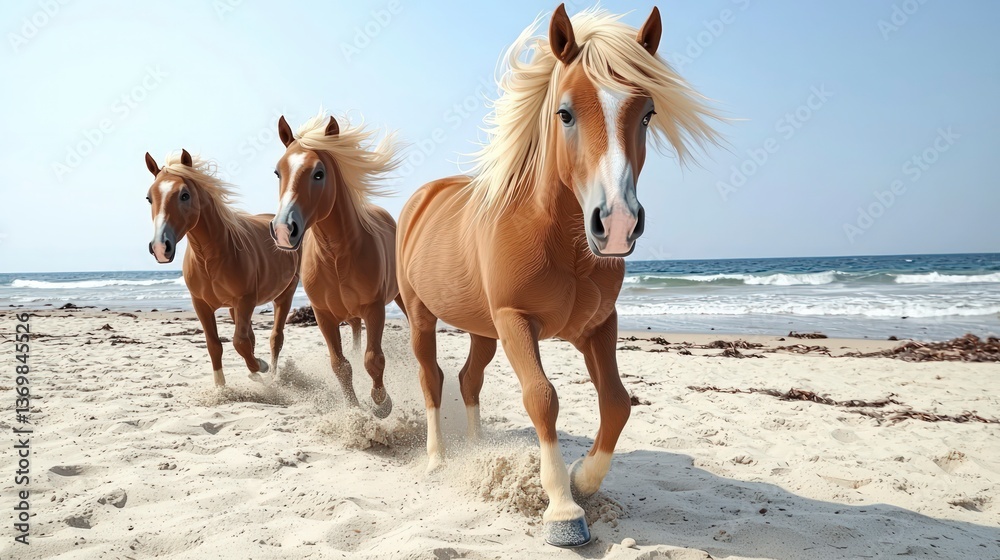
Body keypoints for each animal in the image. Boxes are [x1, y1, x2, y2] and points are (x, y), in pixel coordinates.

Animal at [145, 150, 302, 387]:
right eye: (149, 198)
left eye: (184, 195)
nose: (160, 248)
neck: (211, 259)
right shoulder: (201, 305)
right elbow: (215, 345)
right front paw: (222, 387)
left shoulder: (245, 300)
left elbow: (239, 342)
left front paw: (260, 366)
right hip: (233, 307)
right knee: (251, 336)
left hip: (284, 295)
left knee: (276, 337)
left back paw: (271, 374)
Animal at [270, 112, 404, 419]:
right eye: (278, 172)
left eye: (319, 173)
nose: (283, 230)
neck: (336, 257)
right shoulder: (323, 315)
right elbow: (340, 365)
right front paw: (354, 412)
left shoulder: (374, 309)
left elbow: (373, 359)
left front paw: (382, 404)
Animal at [396, 5, 719, 546]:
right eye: (564, 113)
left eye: (647, 114)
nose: (617, 225)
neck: (557, 239)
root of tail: (424, 195)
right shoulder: (516, 321)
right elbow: (542, 398)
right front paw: (563, 512)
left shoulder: (597, 326)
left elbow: (617, 402)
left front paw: (582, 479)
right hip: (425, 317)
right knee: (432, 379)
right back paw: (438, 459)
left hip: (483, 330)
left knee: (468, 379)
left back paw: (479, 452)